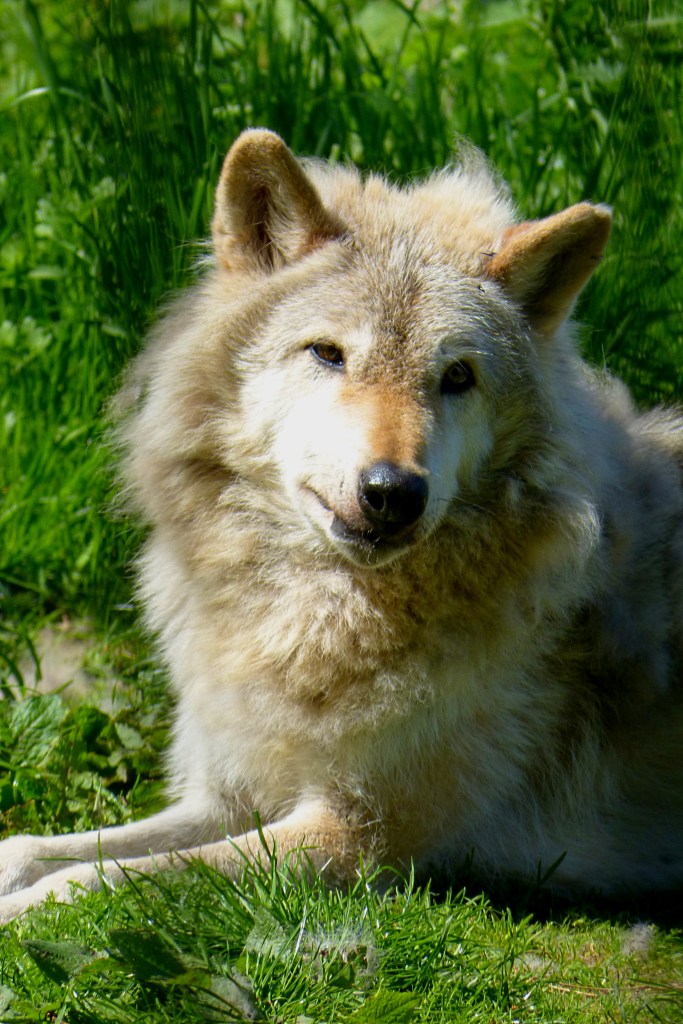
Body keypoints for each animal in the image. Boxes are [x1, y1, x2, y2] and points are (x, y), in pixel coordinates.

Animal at [1, 129, 682, 920]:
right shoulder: (231, 793)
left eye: (457, 377)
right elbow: (38, 849)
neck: (319, 615)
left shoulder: (356, 836)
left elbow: (103, 879)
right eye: (328, 353)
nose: (394, 492)